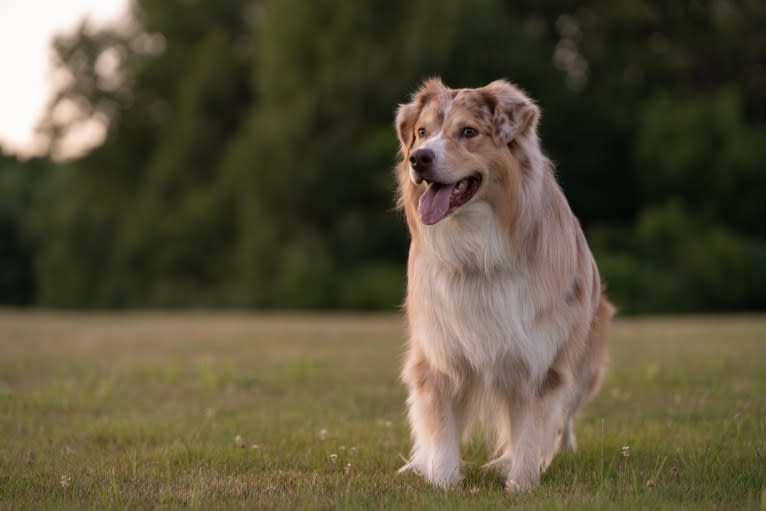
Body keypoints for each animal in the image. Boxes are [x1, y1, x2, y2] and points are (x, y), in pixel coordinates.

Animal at [392, 79, 616, 492]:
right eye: (422, 132)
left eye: (468, 132)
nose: (419, 159)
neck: (478, 245)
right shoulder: (438, 351)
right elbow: (441, 428)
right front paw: (442, 481)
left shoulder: (540, 361)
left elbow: (531, 430)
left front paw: (521, 484)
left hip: (585, 367)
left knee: (564, 417)